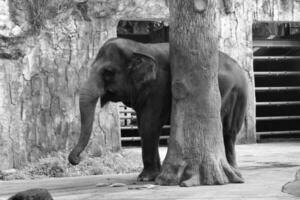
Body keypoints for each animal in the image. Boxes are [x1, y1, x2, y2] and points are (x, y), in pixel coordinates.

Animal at [68, 37, 248, 181]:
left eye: (108, 72)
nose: (76, 160)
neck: (139, 47)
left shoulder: (159, 86)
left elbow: (150, 124)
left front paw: (145, 178)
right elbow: (143, 126)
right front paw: (154, 175)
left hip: (239, 95)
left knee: (230, 132)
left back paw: (235, 171)